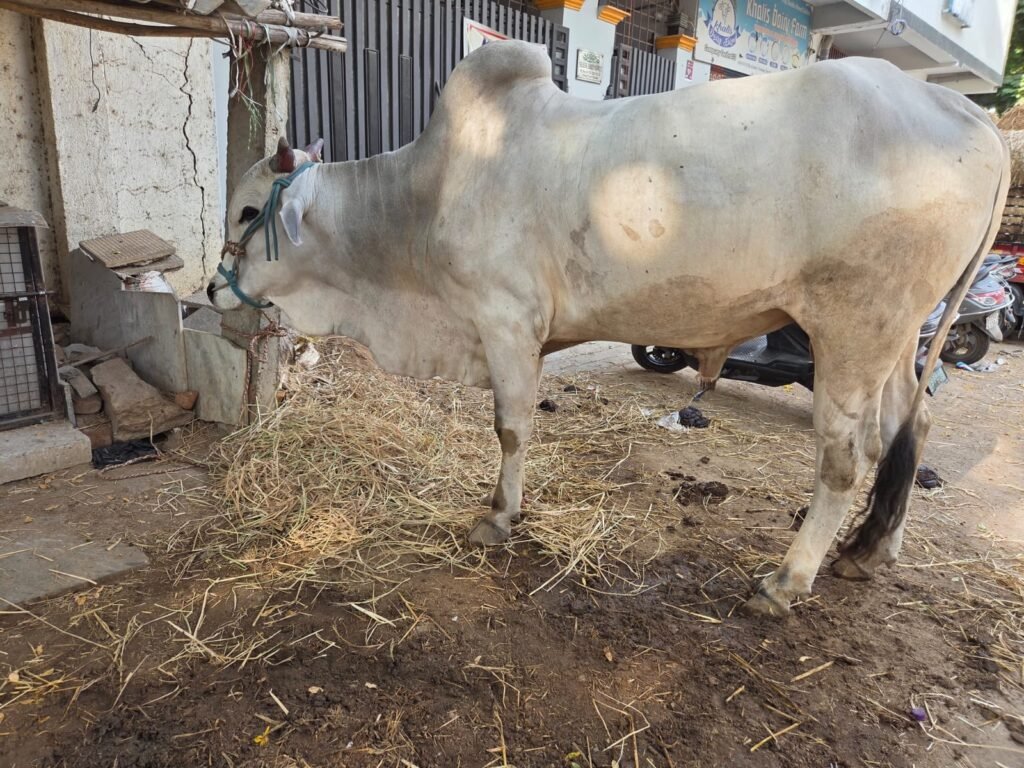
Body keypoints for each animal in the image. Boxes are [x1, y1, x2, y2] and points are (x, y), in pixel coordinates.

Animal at [208, 41, 1008, 616]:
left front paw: (497, 519)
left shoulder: (507, 322)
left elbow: (510, 428)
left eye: (248, 211)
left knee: (846, 458)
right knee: (910, 427)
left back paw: (788, 580)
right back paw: (870, 552)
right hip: (897, 338)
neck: (427, 197)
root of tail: (970, 116)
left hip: (853, 329)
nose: (213, 290)